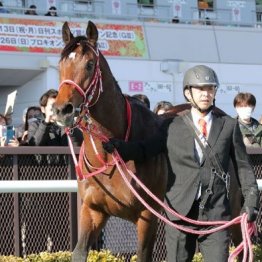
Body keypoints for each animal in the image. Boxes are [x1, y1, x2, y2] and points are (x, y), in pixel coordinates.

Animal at [53, 21, 168, 262]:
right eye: (61, 64)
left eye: (89, 64)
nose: (62, 110)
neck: (109, 154)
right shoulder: (93, 210)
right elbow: (79, 251)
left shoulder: (147, 216)